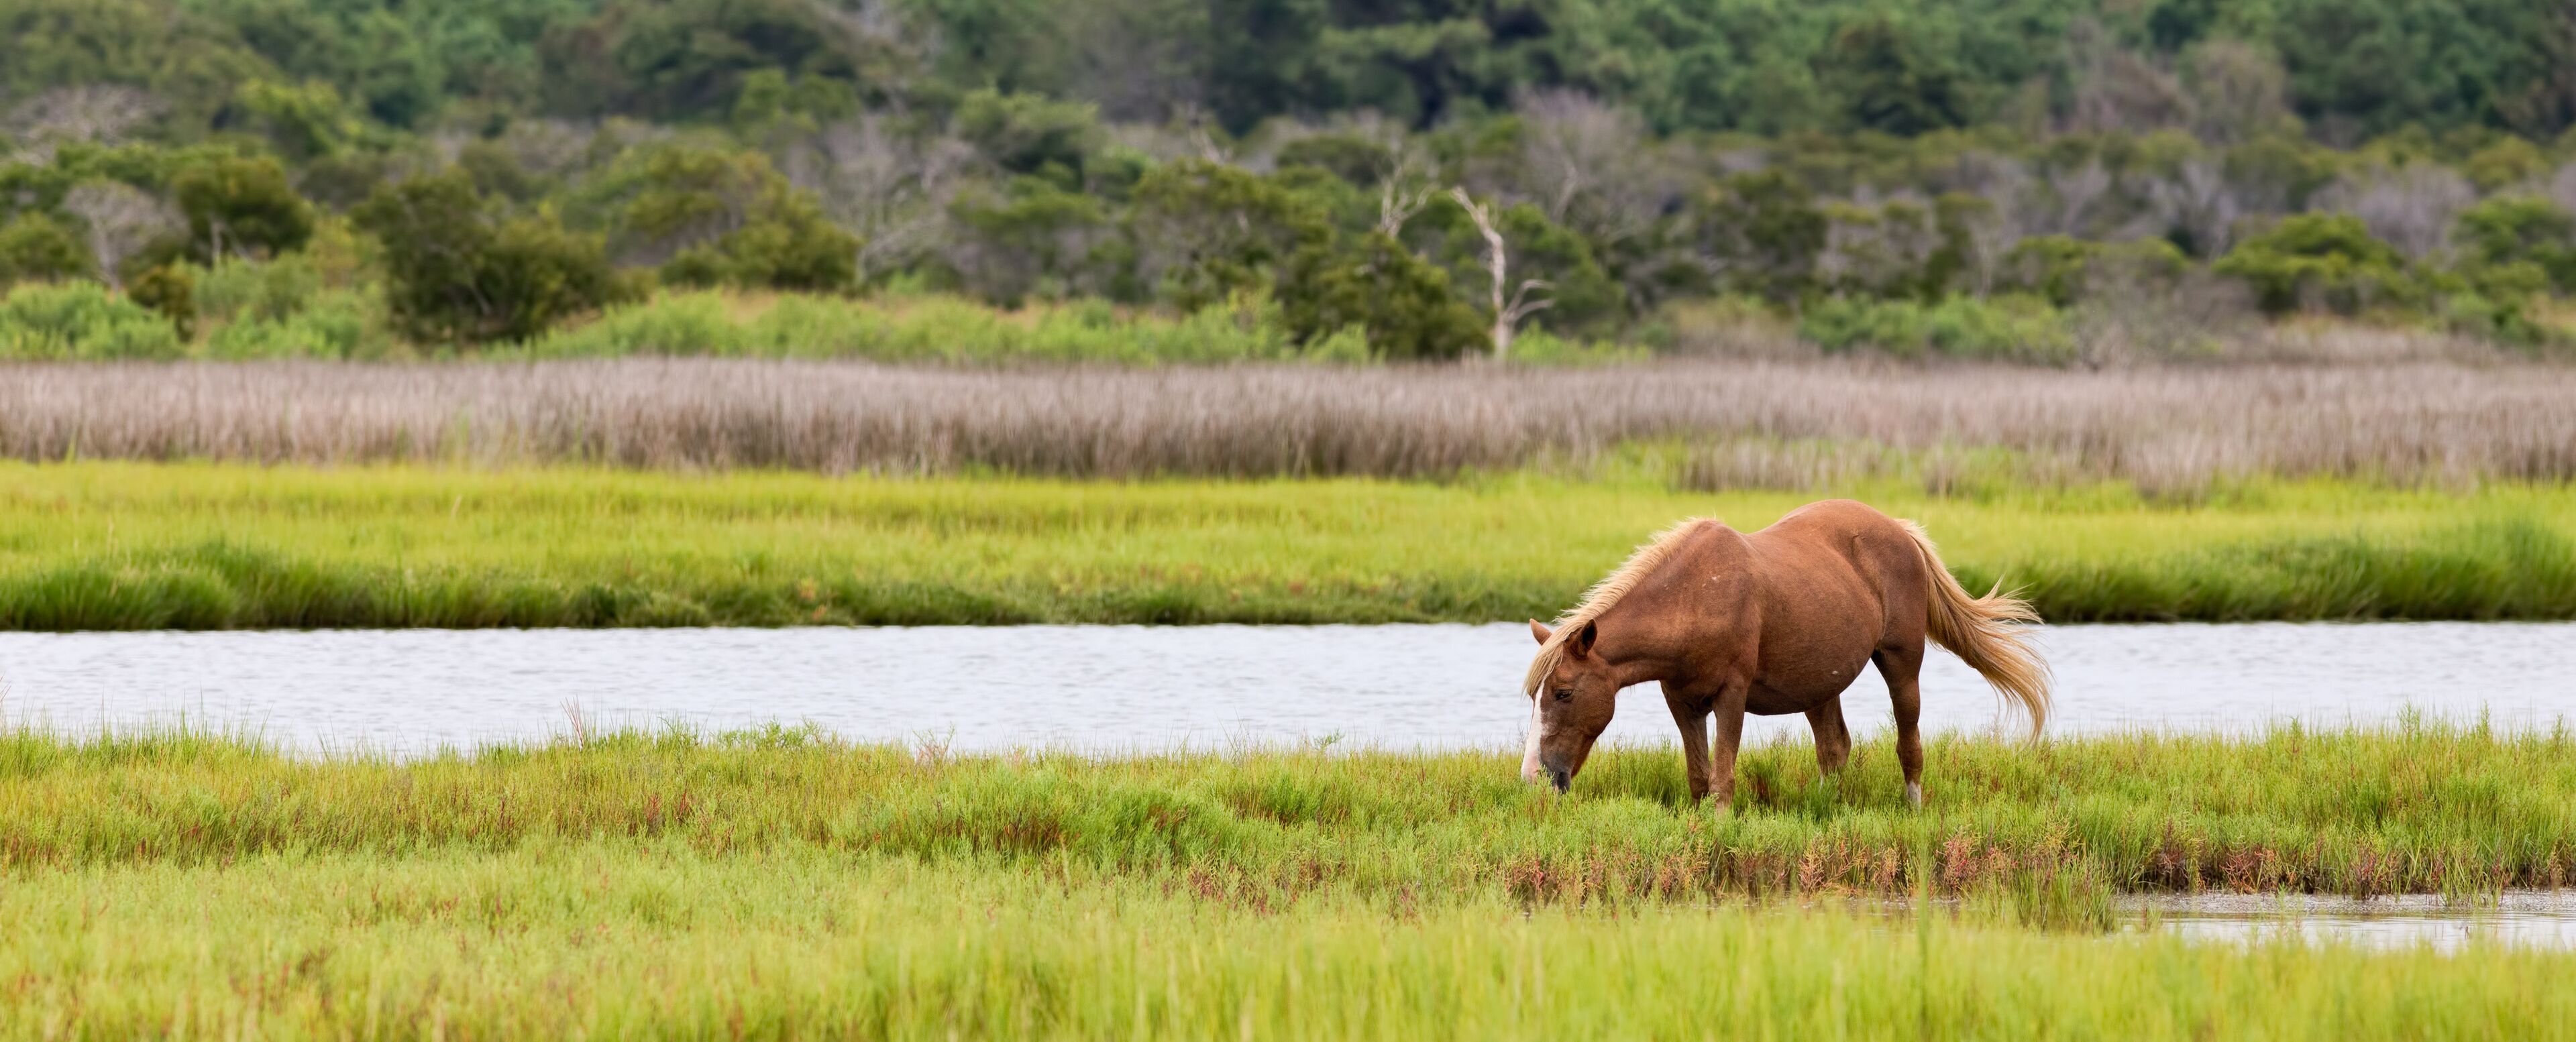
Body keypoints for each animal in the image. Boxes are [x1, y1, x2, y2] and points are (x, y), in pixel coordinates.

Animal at [1520, 499, 2050, 807]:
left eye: (1563, 693)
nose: (1535, 777)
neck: (1694, 598)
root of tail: (1901, 532)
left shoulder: (1731, 696)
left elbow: (1724, 776)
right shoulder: (1682, 701)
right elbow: (1698, 777)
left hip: (1902, 663)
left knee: (1908, 744)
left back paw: (1913, 809)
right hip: (1820, 684)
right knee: (1835, 748)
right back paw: (1823, 809)